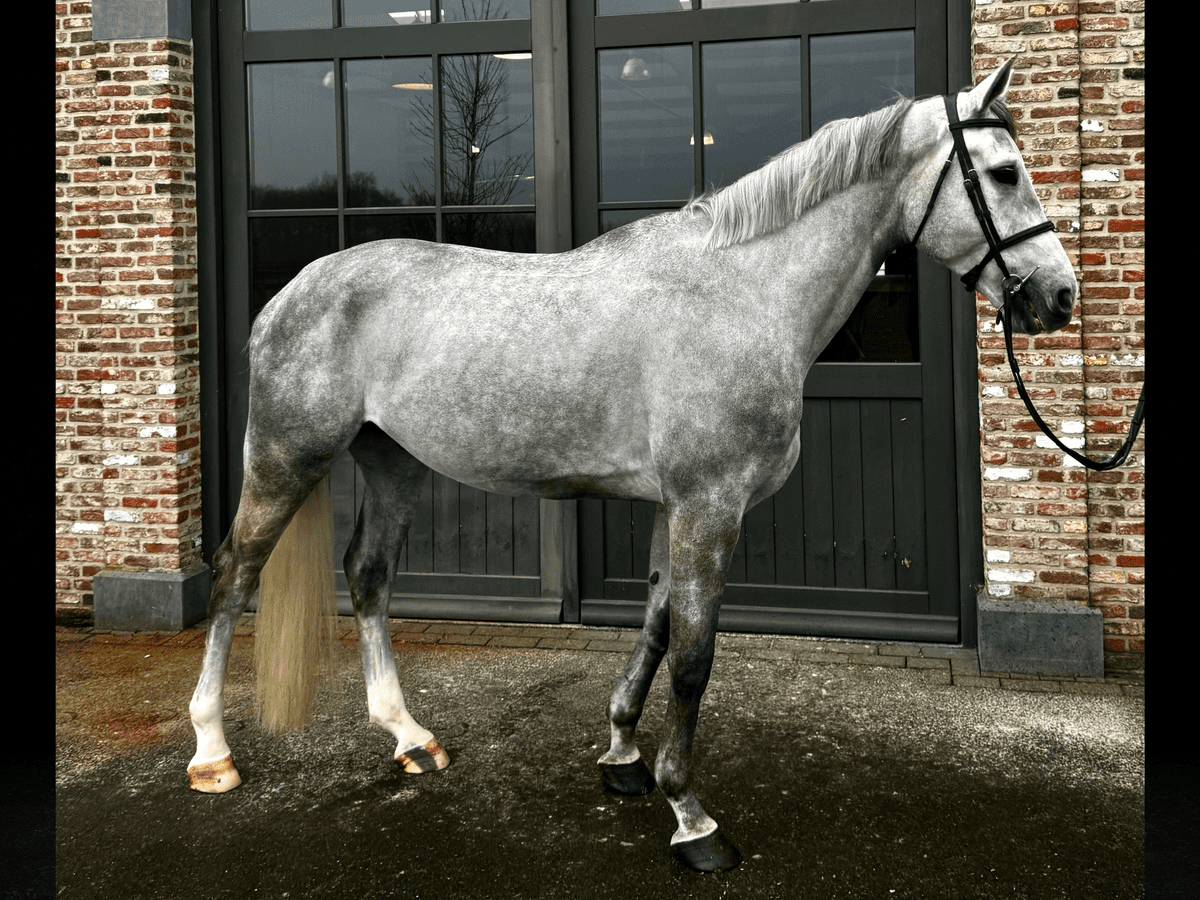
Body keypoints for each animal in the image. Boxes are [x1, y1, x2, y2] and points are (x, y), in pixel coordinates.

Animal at [186, 59, 1076, 872]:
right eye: (1004, 172)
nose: (1059, 298)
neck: (740, 291)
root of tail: (289, 295)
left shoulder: (672, 506)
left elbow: (653, 628)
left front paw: (622, 757)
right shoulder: (709, 506)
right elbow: (693, 659)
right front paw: (690, 815)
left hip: (393, 463)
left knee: (369, 577)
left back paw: (410, 738)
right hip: (286, 457)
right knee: (234, 575)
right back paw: (212, 754)